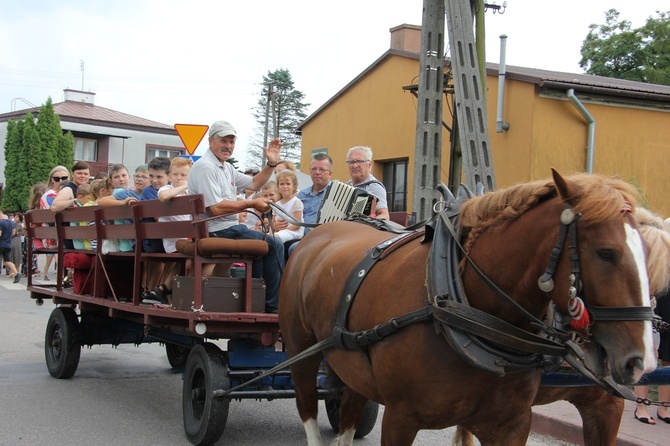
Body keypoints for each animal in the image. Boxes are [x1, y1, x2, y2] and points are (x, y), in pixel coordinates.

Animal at [278, 171, 656, 446]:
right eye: (606, 253)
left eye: (648, 251)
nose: (642, 360)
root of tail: (318, 234)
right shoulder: (401, 418)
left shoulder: (513, 424)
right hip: (301, 352)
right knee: (307, 404)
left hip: (352, 362)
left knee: (350, 411)